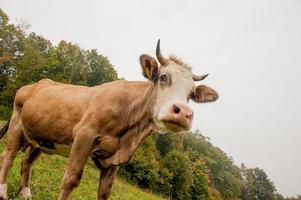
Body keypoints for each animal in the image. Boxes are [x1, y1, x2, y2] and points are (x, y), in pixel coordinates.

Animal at [0, 39, 218, 199]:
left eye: (191, 93)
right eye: (163, 77)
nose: (184, 113)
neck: (129, 131)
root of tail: (36, 84)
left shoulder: (116, 158)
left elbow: (105, 192)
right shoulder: (84, 135)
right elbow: (71, 179)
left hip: (42, 137)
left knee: (26, 162)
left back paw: (25, 193)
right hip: (17, 124)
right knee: (8, 156)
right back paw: (3, 192)